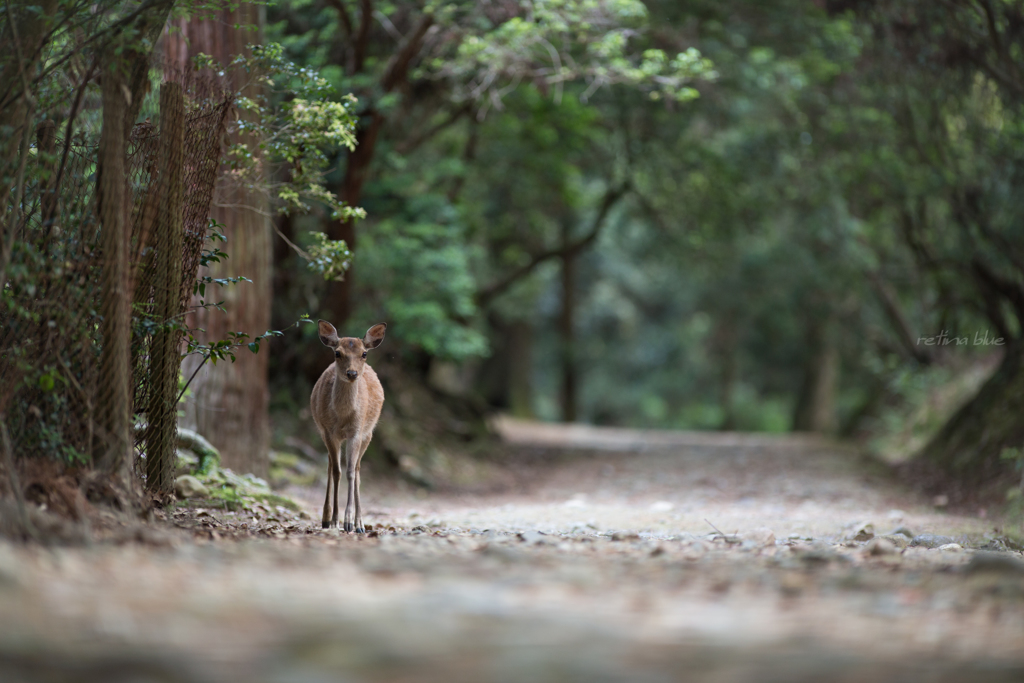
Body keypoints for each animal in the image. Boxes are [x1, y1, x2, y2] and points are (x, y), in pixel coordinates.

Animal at [309, 321, 385, 532]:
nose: (352, 373)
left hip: (368, 434)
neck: (342, 417)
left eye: (364, 353)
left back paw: (360, 524)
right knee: (330, 465)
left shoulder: (356, 433)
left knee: (358, 469)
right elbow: (337, 471)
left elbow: (351, 472)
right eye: (337, 352)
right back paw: (326, 519)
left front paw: (349, 521)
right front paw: (335, 519)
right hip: (323, 432)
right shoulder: (329, 432)